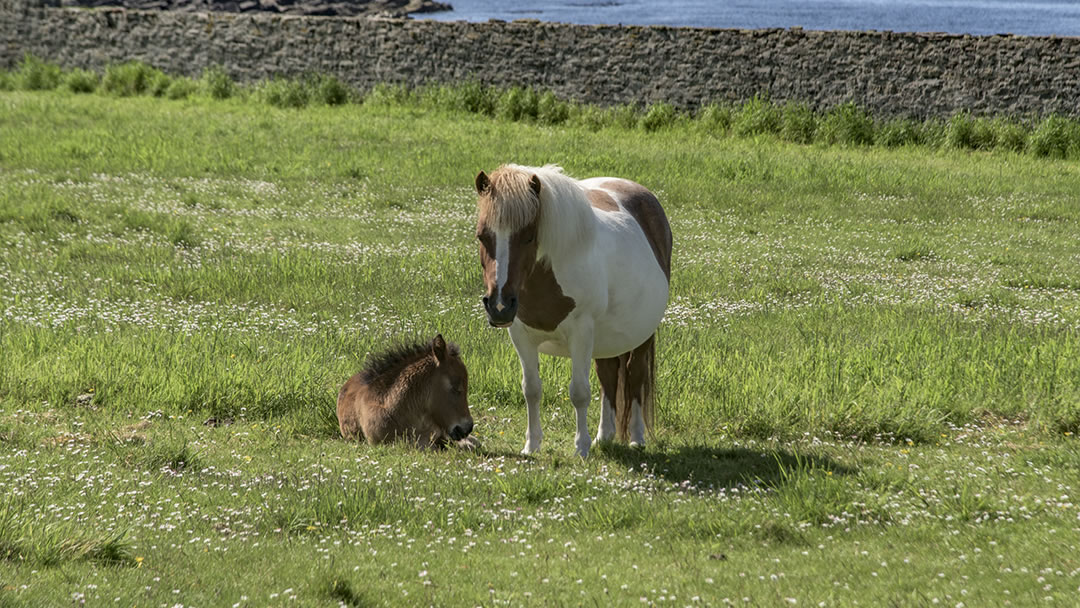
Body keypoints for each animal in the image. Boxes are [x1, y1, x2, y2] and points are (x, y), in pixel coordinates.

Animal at [475, 164, 669, 460]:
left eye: (529, 236)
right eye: (482, 236)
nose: (499, 306)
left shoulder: (581, 332)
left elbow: (579, 392)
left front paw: (581, 447)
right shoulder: (520, 335)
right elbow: (531, 389)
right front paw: (532, 445)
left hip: (642, 334)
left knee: (635, 375)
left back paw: (636, 438)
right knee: (608, 374)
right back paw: (604, 436)